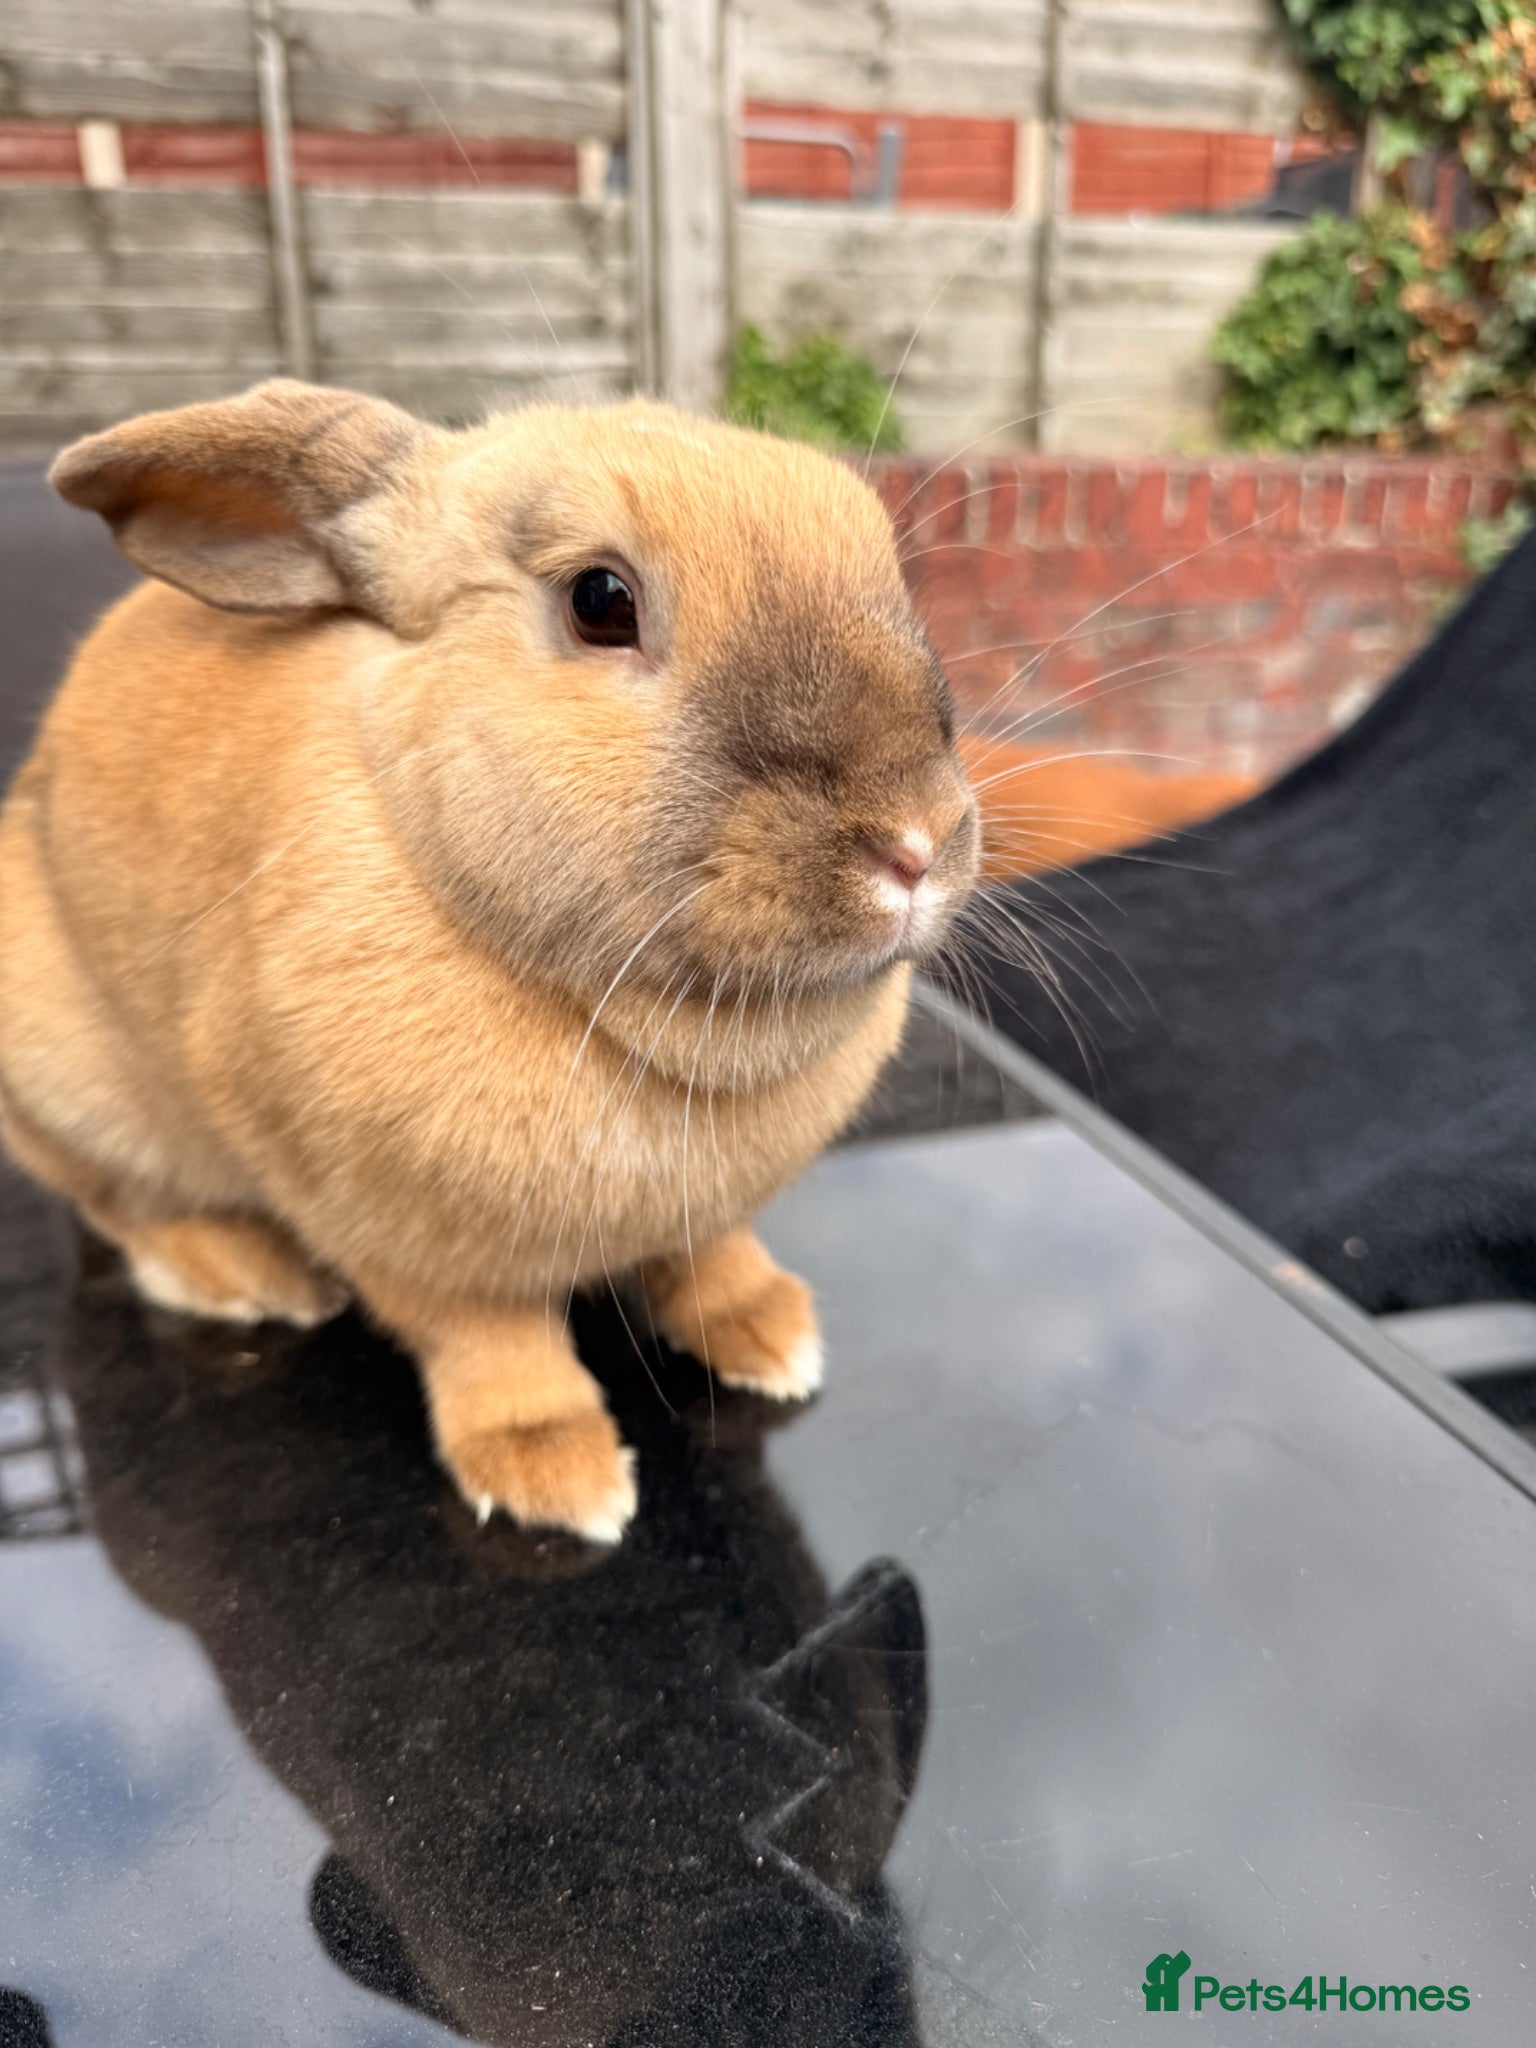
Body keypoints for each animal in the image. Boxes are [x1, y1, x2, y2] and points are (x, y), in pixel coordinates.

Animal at [0, 379, 978, 1543]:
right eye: (600, 601)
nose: (917, 842)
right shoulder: (405, 1240)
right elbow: (496, 1349)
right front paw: (559, 1476)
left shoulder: (710, 1215)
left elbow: (715, 1261)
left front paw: (773, 1338)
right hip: (74, 1096)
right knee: (124, 1208)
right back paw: (249, 1278)